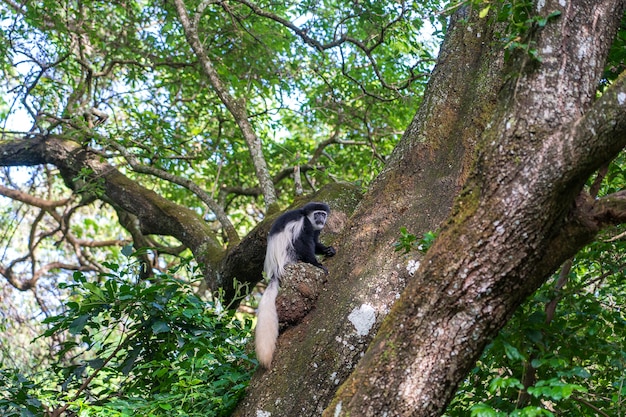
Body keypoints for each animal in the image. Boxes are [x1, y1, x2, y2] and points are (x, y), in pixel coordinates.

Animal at [254, 202, 334, 368]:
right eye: (317, 214)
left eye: (323, 214)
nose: (321, 218)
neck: (306, 216)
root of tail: (275, 271)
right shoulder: (304, 225)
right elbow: (303, 242)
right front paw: (317, 264)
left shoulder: (315, 229)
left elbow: (315, 241)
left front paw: (328, 250)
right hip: (289, 255)